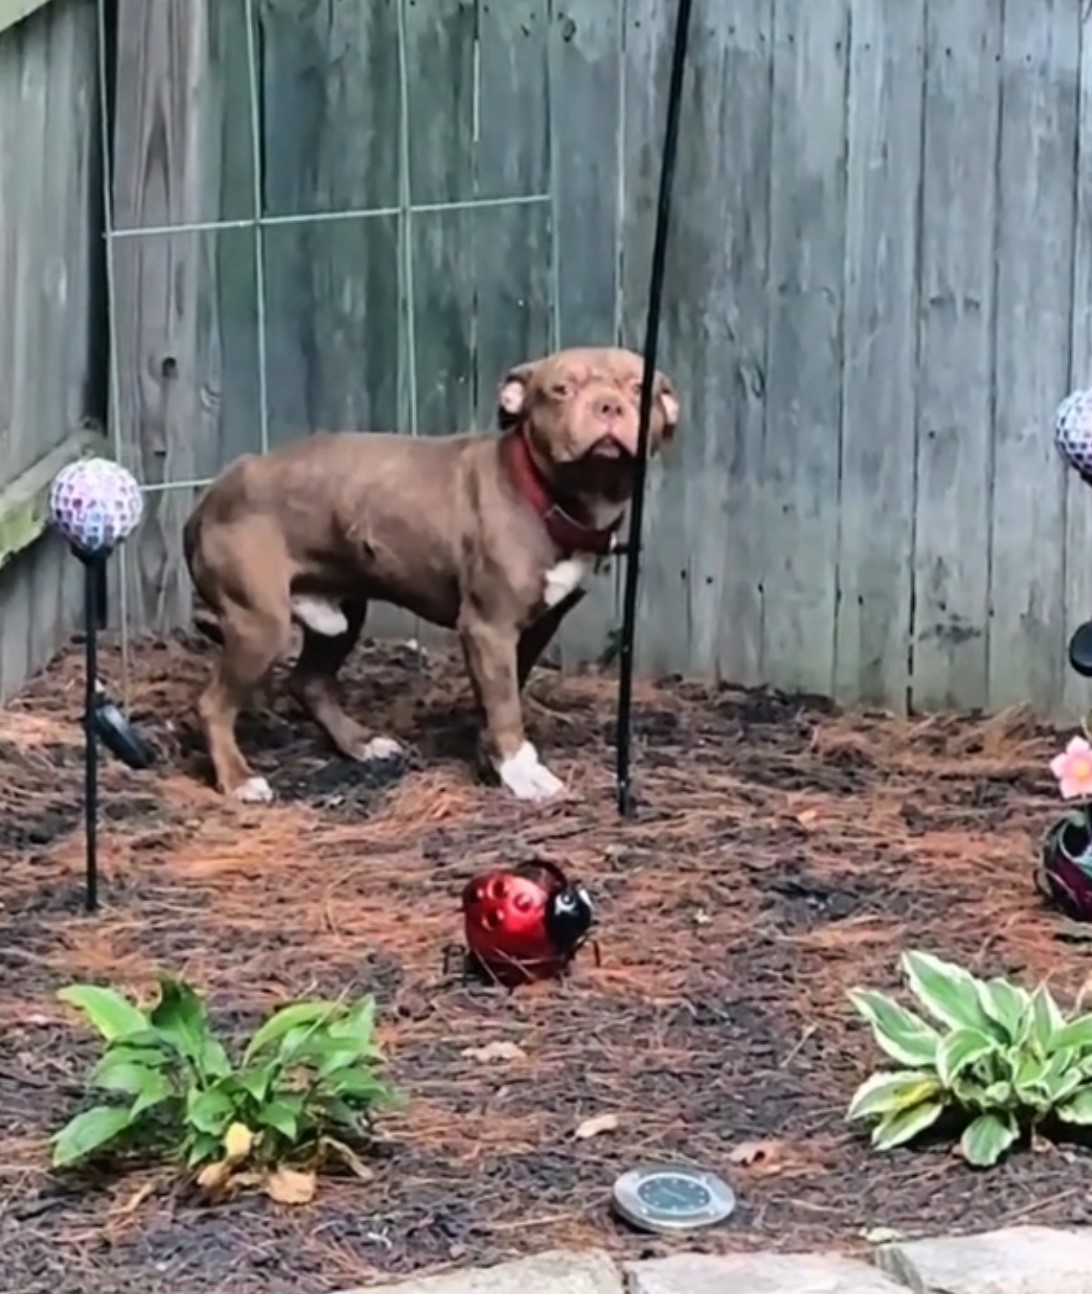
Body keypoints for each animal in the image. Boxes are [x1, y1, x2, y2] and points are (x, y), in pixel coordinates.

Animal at [186, 349, 677, 802]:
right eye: (561, 390)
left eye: (641, 388)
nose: (609, 406)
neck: (551, 496)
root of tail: (210, 495)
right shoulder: (488, 627)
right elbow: (505, 705)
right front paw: (521, 772)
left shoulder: (535, 628)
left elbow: (503, 693)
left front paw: (491, 755)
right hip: (260, 624)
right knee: (213, 704)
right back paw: (239, 779)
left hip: (342, 614)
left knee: (309, 681)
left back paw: (361, 743)